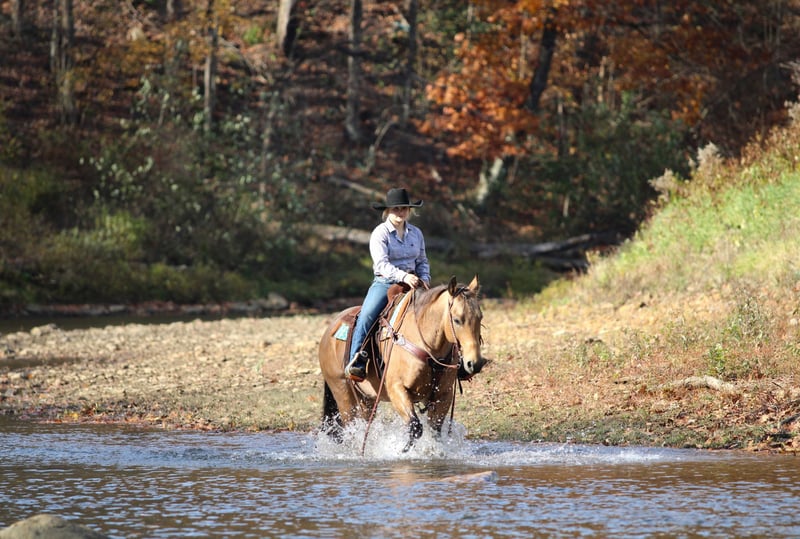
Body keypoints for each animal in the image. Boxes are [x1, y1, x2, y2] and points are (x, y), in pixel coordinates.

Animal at [318, 275, 486, 452]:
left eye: (480, 318)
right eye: (456, 320)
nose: (475, 363)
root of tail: (329, 330)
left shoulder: (443, 395)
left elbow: (435, 431)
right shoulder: (396, 389)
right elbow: (415, 426)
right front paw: (403, 450)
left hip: (365, 399)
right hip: (343, 393)